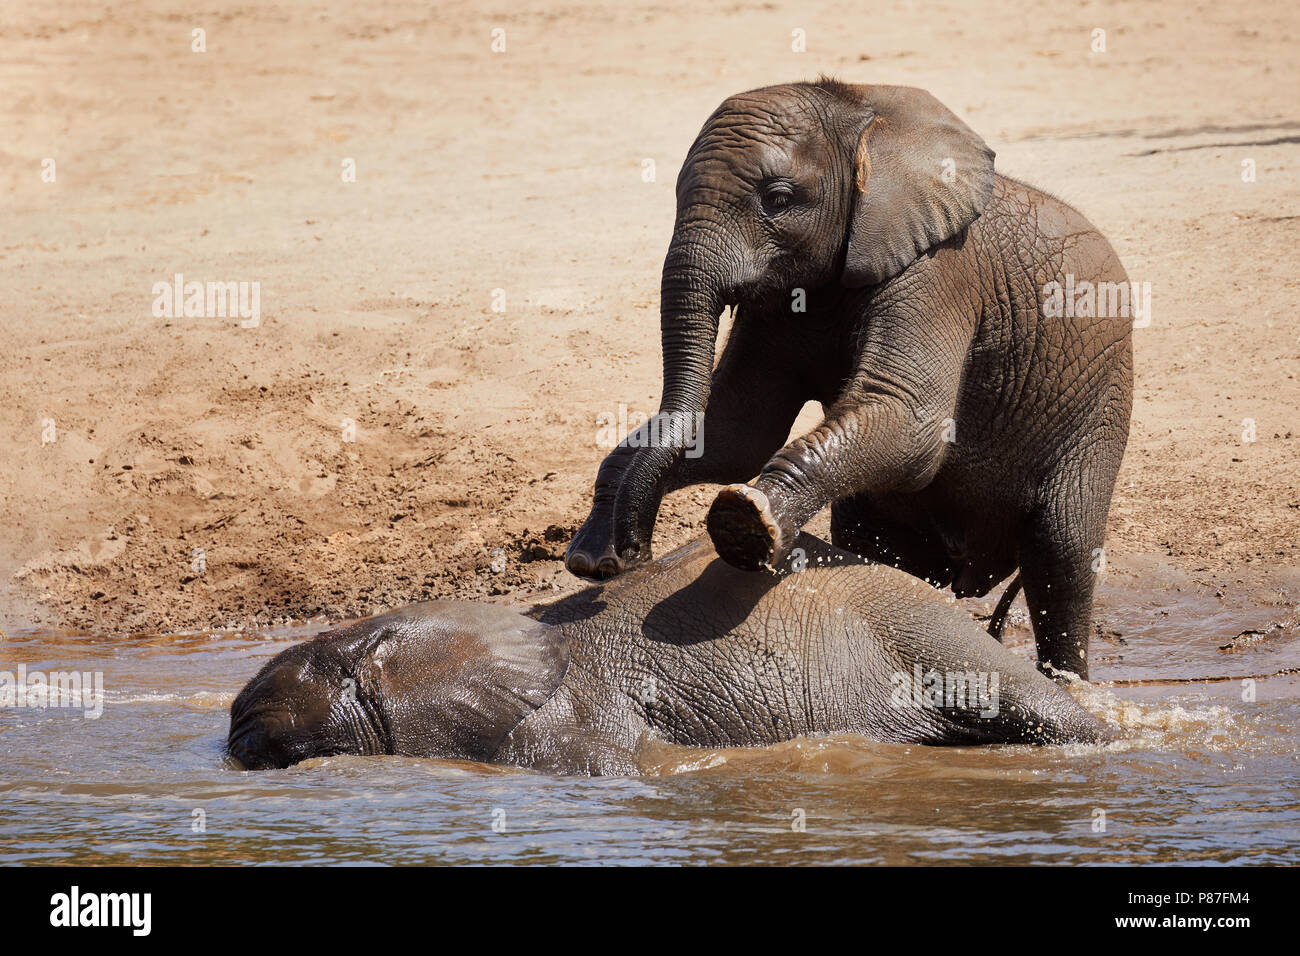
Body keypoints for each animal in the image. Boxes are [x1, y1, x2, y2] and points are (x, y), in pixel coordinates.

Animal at [564, 80, 1133, 681]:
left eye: (777, 199)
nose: (630, 552)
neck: (866, 116)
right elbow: (739, 431)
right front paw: (594, 546)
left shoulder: (940, 271)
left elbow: (911, 420)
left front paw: (744, 523)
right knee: (883, 551)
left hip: (1101, 398)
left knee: (1062, 551)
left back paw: (1070, 682)